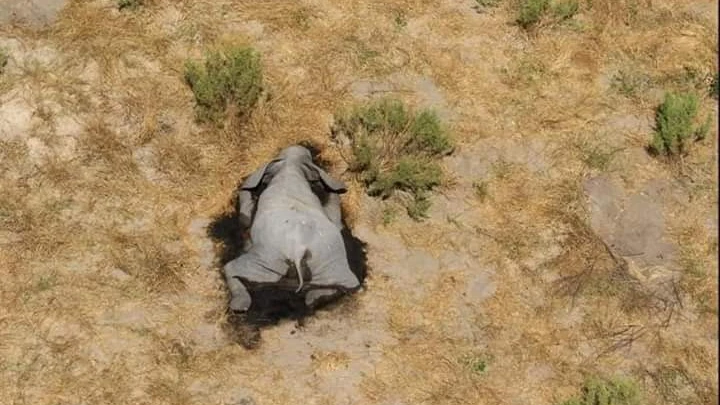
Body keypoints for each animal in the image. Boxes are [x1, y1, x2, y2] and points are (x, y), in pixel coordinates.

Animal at [223, 145, 361, 313]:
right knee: (349, 283)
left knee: (231, 268)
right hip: (329, 262)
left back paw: (239, 306)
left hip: (267, 258)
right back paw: (314, 299)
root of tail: (298, 252)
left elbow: (245, 213)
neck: (290, 167)